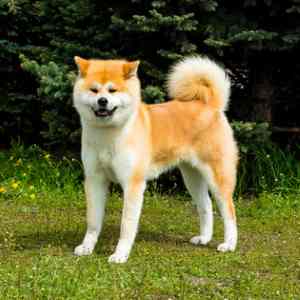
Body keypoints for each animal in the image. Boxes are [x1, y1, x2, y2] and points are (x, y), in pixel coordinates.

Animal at [71, 55, 238, 262]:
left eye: (112, 90)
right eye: (94, 90)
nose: (102, 101)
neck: (108, 135)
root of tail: (211, 105)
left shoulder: (133, 184)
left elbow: (126, 225)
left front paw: (120, 254)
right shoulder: (94, 179)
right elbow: (93, 220)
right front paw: (87, 247)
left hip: (217, 177)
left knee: (229, 211)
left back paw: (229, 244)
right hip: (192, 177)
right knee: (206, 205)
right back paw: (204, 238)